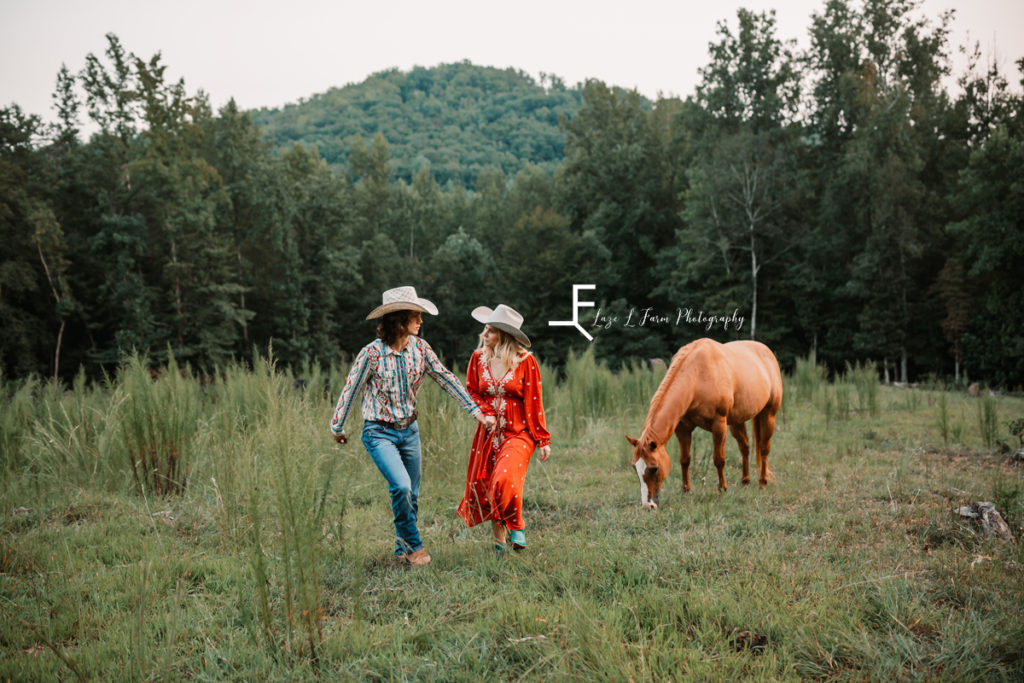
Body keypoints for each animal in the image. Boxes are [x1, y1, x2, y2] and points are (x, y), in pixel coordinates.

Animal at [622, 337, 782, 507]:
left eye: (654, 468)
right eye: (635, 467)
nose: (648, 505)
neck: (698, 376)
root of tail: (767, 352)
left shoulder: (719, 425)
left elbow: (719, 459)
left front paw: (722, 489)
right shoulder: (683, 428)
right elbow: (685, 459)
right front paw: (686, 490)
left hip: (768, 415)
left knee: (764, 449)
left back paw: (762, 483)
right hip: (737, 420)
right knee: (744, 447)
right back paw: (745, 482)